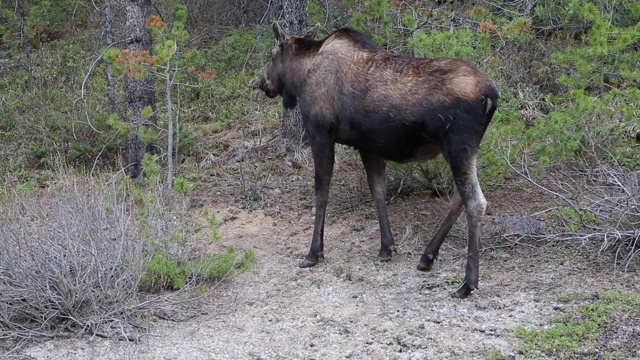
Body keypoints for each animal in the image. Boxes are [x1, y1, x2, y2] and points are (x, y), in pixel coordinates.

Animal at [258, 23, 500, 298]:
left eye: (272, 54)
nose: (262, 82)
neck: (301, 76)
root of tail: (492, 94)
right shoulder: (367, 145)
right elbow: (378, 189)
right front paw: (387, 247)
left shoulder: (320, 133)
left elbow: (321, 192)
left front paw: (314, 252)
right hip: (466, 149)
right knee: (460, 197)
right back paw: (427, 256)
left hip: (458, 145)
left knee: (475, 201)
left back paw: (468, 282)